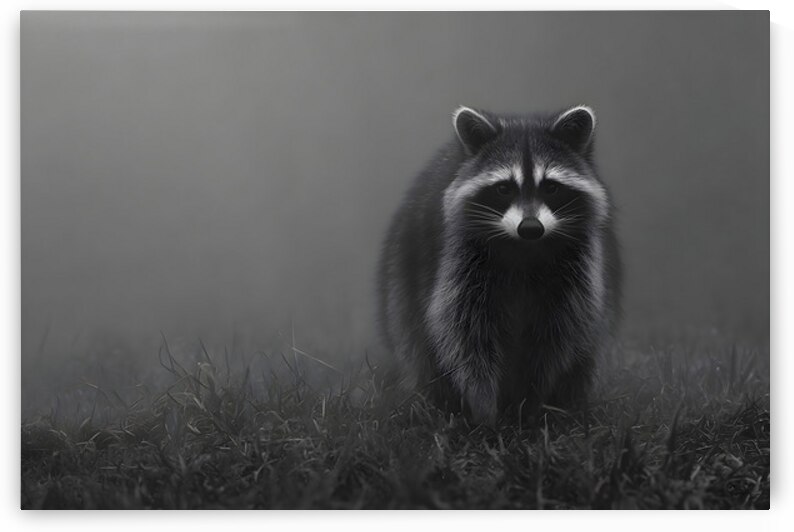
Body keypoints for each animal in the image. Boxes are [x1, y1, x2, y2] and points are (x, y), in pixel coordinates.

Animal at [377, 105, 621, 425]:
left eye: (551, 187)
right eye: (504, 188)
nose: (530, 227)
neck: (524, 248)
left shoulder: (576, 268)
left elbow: (555, 335)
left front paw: (530, 401)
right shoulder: (461, 260)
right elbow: (464, 333)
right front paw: (484, 406)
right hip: (403, 274)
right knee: (416, 340)